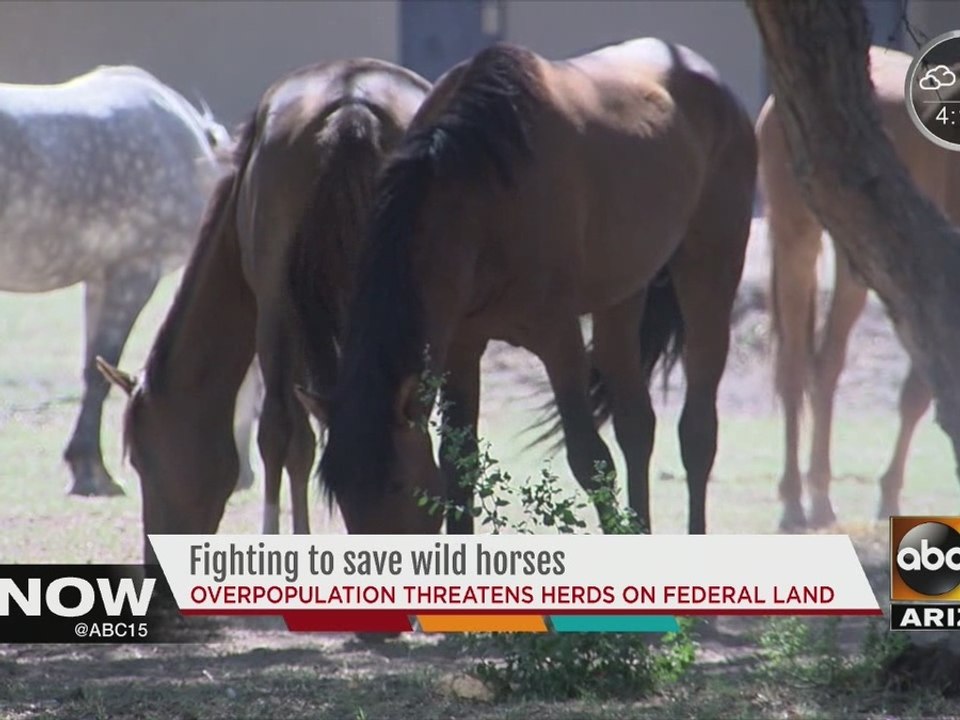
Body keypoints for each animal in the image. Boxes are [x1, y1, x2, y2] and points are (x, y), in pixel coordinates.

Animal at [0, 65, 261, 497]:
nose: (244, 478)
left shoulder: (100, 278)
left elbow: (93, 366)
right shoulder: (134, 272)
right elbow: (101, 370)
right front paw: (93, 473)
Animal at [314, 39, 757, 537]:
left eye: (395, 485)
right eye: (342, 498)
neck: (477, 191)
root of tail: (715, 84)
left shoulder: (558, 337)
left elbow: (589, 459)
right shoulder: (461, 344)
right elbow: (458, 465)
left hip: (709, 271)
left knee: (697, 430)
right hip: (622, 294)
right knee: (636, 422)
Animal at [757, 46, 960, 530]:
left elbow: (919, 390)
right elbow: (923, 388)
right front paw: (887, 497)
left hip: (857, 258)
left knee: (826, 364)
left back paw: (819, 496)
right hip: (799, 238)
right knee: (795, 366)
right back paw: (795, 501)